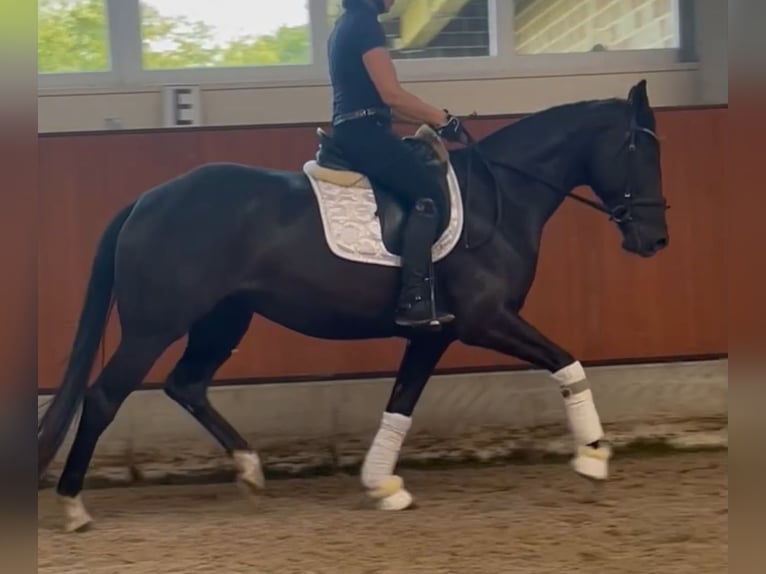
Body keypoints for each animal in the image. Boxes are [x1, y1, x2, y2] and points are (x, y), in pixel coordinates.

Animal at [39, 80, 668, 532]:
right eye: (641, 150)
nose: (655, 240)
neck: (502, 199)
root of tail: (146, 199)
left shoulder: (434, 333)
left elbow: (401, 403)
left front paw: (381, 486)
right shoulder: (486, 320)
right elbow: (567, 361)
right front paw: (594, 457)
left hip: (225, 318)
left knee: (186, 384)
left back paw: (250, 471)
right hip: (156, 325)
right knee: (105, 396)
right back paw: (73, 505)